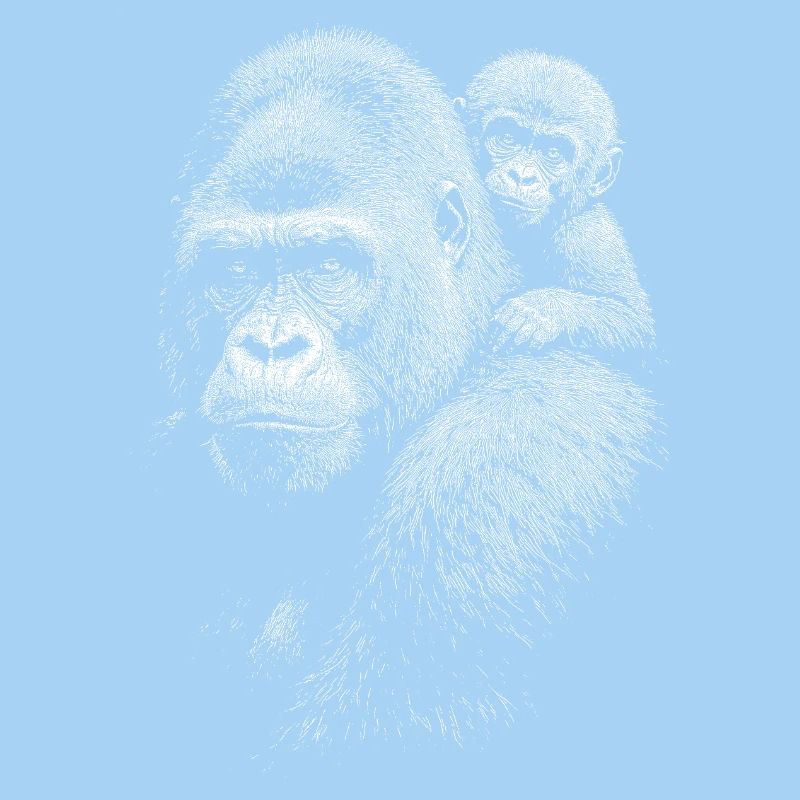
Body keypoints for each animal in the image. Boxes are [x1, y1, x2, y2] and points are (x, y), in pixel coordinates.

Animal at [456, 51, 654, 352]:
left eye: (552, 153)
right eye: (507, 137)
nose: (522, 176)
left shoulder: (588, 237)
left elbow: (631, 318)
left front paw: (540, 311)